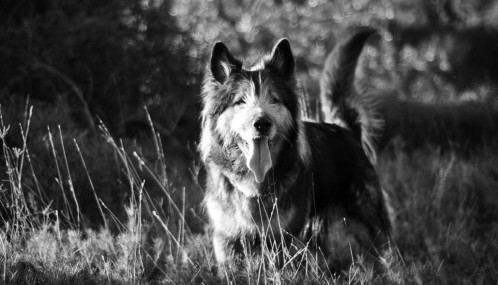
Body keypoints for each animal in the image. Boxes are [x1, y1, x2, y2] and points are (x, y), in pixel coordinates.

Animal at [198, 28, 392, 272]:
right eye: (240, 101)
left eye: (274, 99)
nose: (262, 123)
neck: (254, 181)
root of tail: (347, 129)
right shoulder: (227, 239)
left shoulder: (283, 238)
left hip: (369, 218)